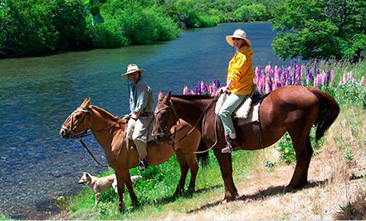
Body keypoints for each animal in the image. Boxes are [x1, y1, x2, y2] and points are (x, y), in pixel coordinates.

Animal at [58, 99, 204, 212]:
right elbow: (129, 185)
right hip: (179, 152)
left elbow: (121, 188)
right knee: (184, 169)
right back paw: (177, 192)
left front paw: (120, 209)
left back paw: (190, 189)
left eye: (77, 116)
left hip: (188, 152)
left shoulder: (118, 169)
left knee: (194, 168)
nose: (63, 132)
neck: (113, 135)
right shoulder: (124, 168)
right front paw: (135, 202)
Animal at [152, 85, 340, 203]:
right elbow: (229, 170)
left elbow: (225, 171)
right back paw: (302, 181)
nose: (156, 136)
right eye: (154, 114)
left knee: (301, 155)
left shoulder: (219, 149)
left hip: (296, 133)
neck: (207, 113)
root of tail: (309, 89)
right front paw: (233, 193)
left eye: (163, 113)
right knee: (308, 154)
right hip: (303, 133)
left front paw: (228, 196)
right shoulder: (225, 150)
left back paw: (292, 184)